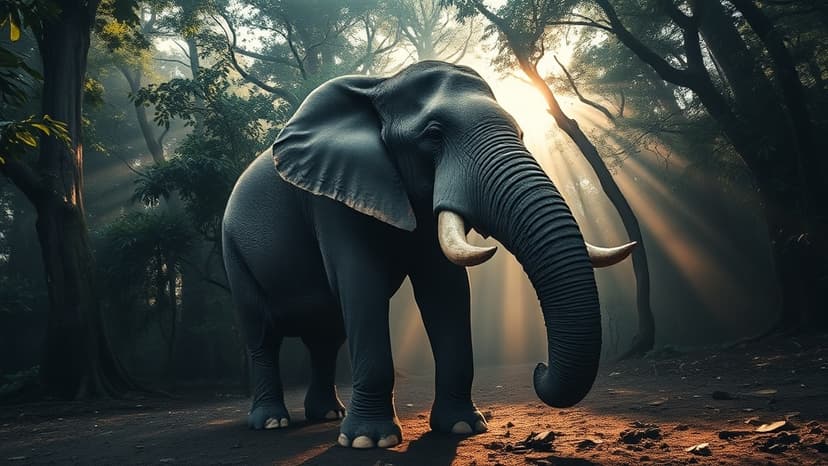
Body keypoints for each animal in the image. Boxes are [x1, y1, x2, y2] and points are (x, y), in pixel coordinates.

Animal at [221, 60, 635, 449]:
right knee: (262, 335)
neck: (382, 85)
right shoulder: (329, 198)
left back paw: (325, 415)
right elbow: (361, 284)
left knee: (326, 338)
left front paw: (462, 427)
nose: (539, 368)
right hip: (234, 254)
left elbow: (445, 288)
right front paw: (369, 441)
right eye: (434, 135)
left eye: (519, 133)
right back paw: (272, 422)